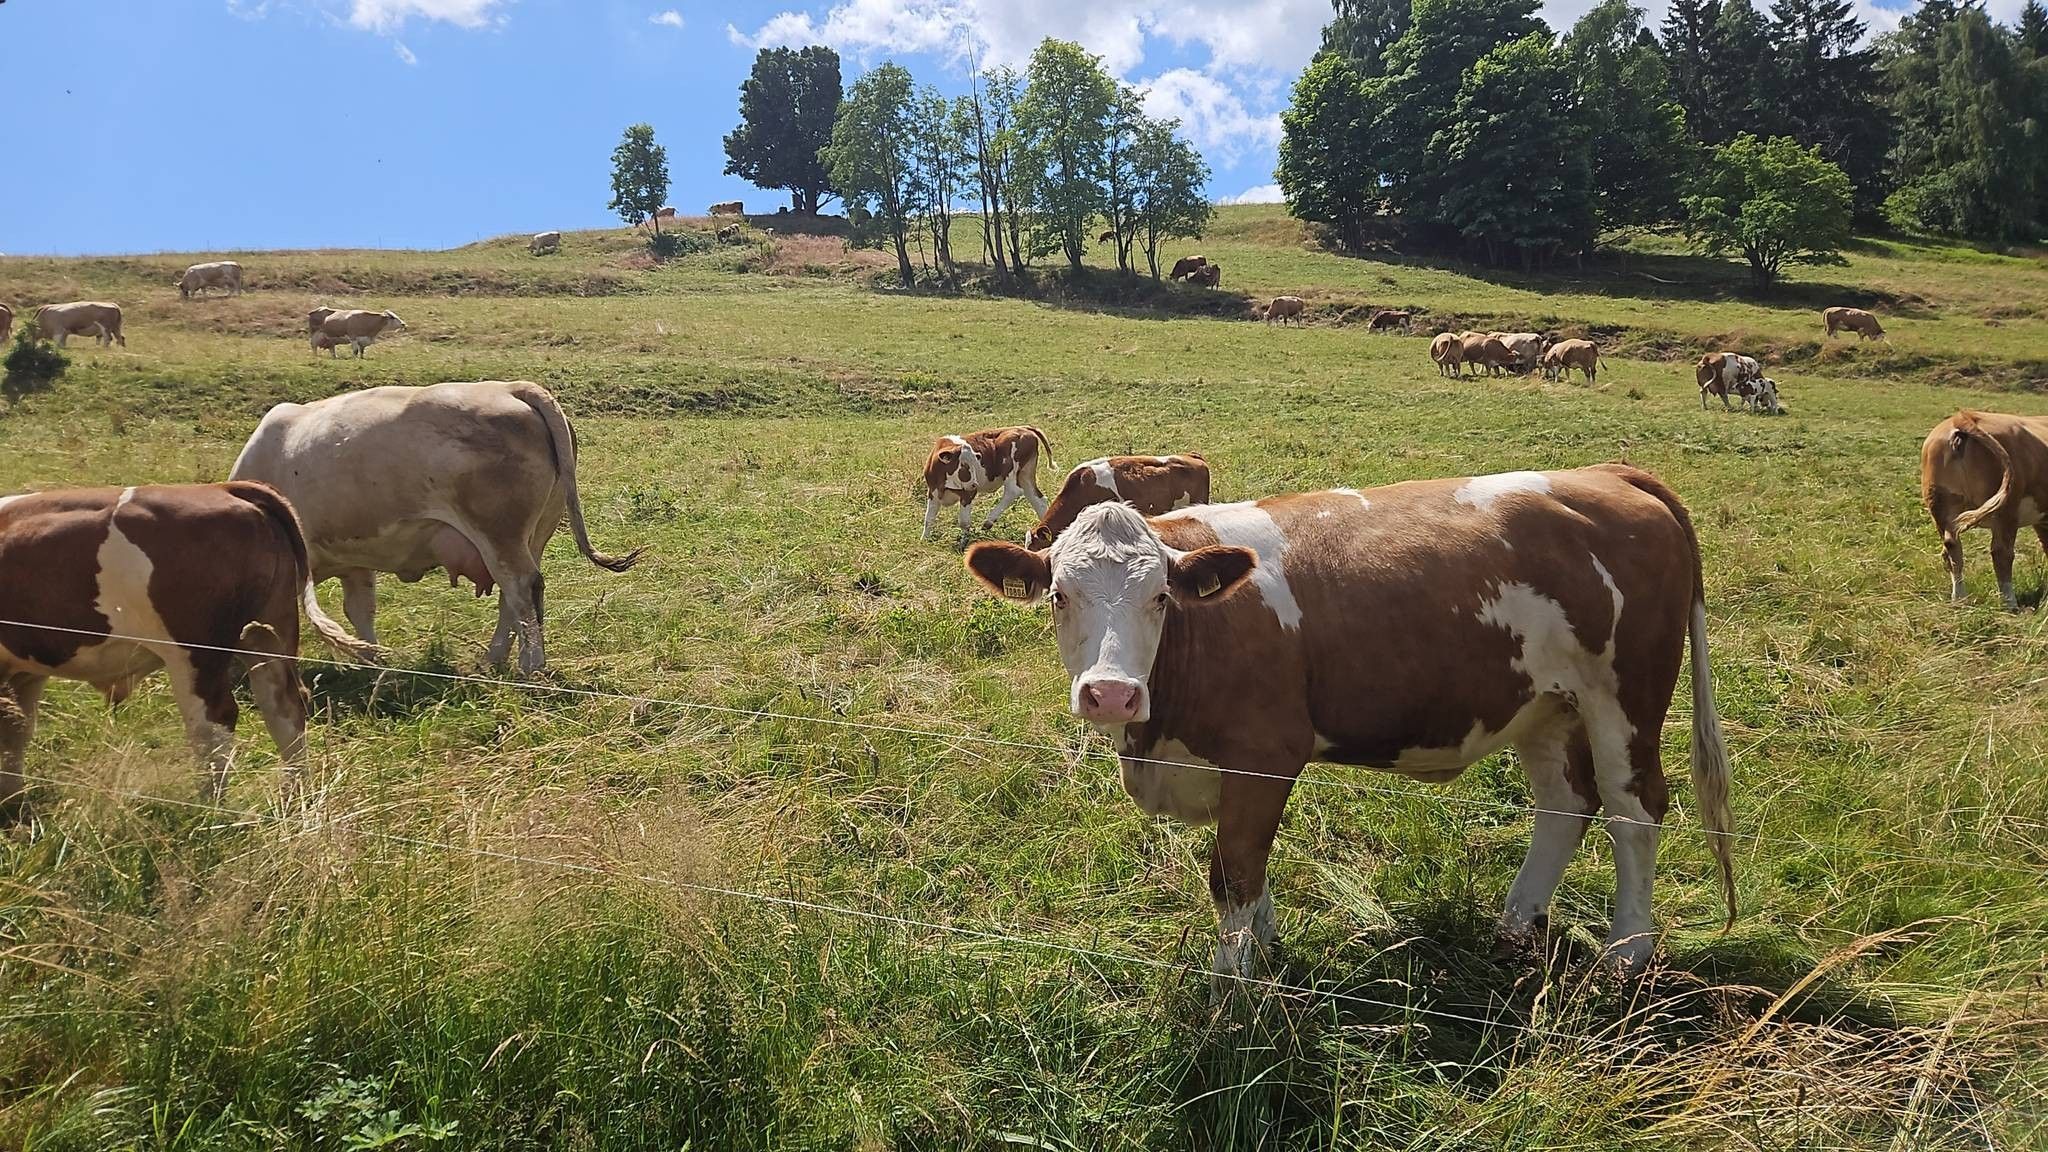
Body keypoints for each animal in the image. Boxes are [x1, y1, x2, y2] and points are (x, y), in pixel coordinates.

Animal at [0, 482, 382, 814]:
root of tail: (223, 488)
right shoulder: (23, 673)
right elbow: (16, 732)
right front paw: (12, 804)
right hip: (268, 634)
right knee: (285, 709)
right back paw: (294, 797)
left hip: (194, 653)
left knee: (213, 725)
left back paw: (210, 812)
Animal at [229, 381, 647, 673]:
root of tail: (512, 387)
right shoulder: (355, 563)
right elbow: (360, 611)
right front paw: (372, 661)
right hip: (533, 534)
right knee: (515, 597)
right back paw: (493, 660)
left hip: (499, 535)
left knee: (521, 588)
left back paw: (529, 664)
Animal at [922, 427, 1055, 544]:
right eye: (963, 465)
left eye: (975, 463)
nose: (975, 484)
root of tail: (1024, 428)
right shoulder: (932, 492)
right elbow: (929, 518)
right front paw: (924, 539)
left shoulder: (968, 493)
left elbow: (964, 522)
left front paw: (964, 542)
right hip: (1025, 474)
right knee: (1038, 499)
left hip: (1010, 468)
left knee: (1013, 491)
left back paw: (988, 521)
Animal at [961, 466, 1736, 982]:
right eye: (1059, 595)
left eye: (1159, 597)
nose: (1111, 694)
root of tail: (1607, 474)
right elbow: (1249, 870)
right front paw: (1264, 950)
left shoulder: (1265, 754)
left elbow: (1233, 873)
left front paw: (1231, 990)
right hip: (1544, 705)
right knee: (1565, 804)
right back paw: (1517, 926)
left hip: (1626, 697)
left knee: (1635, 810)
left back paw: (1626, 955)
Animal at [1920, 410, 2048, 610]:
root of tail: (1963, 417)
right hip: (2007, 509)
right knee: (2001, 552)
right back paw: (2010, 603)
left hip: (1940, 505)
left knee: (1951, 549)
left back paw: (1959, 599)